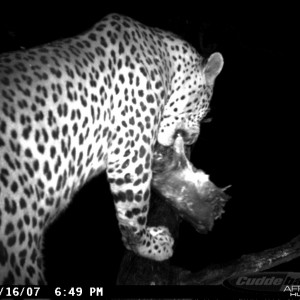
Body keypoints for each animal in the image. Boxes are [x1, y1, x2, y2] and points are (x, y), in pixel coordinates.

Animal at [0, 13, 223, 284]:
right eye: (205, 108)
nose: (192, 139)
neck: (165, 60)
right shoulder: (130, 156)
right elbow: (133, 216)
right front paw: (151, 246)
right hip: (20, 244)